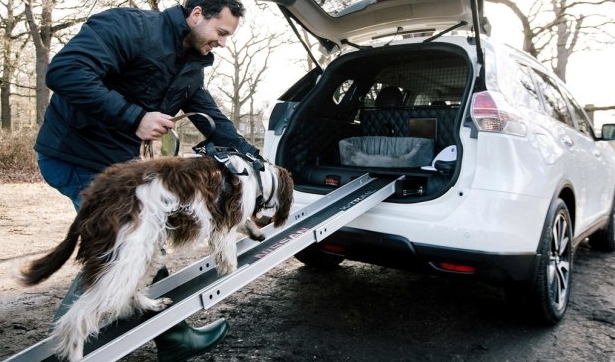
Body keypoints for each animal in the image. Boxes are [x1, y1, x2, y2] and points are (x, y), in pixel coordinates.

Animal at [15, 153, 294, 362]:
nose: (267, 221)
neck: (256, 173)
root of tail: (95, 196)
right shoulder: (224, 224)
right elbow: (229, 255)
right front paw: (233, 271)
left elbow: (242, 226)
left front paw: (256, 232)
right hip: (126, 253)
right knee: (78, 315)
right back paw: (75, 352)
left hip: (143, 249)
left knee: (127, 293)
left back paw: (152, 305)